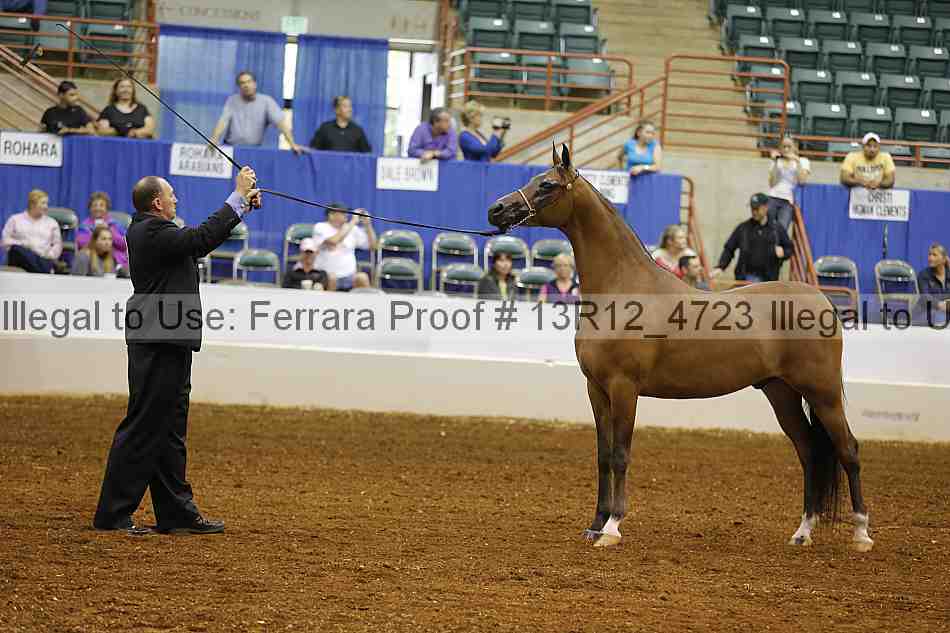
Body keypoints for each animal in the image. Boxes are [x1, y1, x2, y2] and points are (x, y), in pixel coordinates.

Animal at [486, 144, 873, 552]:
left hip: (823, 393)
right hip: (781, 393)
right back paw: (803, 531)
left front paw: (612, 527)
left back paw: (862, 534)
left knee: (848, 450)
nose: (496, 210)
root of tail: (821, 301)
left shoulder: (624, 388)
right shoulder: (597, 389)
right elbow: (603, 456)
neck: (623, 288)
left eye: (546, 184)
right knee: (810, 452)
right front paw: (594, 525)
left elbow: (621, 455)